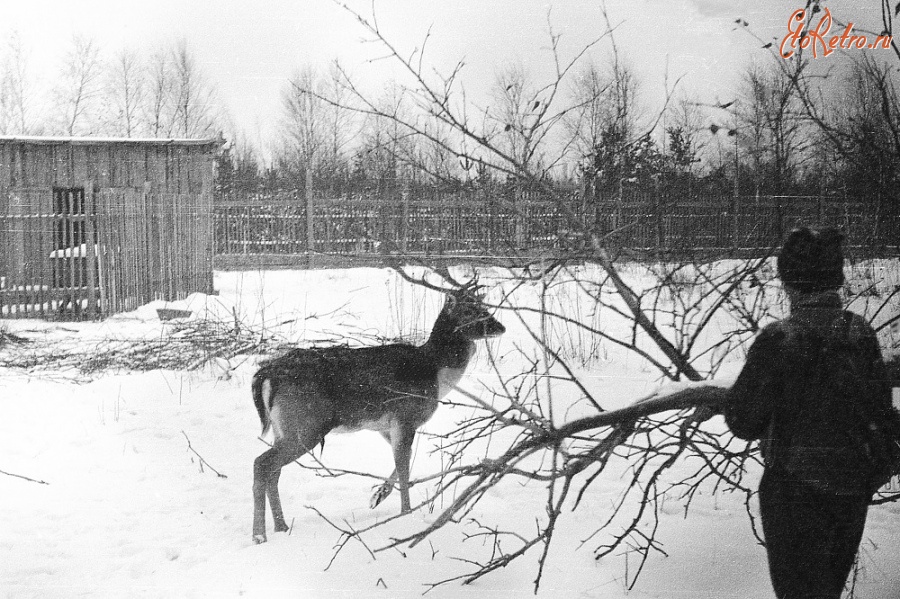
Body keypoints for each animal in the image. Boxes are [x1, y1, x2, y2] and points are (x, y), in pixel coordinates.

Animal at [251, 280, 506, 544]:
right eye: (468, 311)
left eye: (484, 306)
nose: (500, 327)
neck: (435, 371)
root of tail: (265, 375)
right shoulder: (406, 415)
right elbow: (403, 466)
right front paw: (406, 514)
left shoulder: (385, 425)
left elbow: (401, 462)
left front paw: (378, 497)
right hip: (306, 424)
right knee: (262, 463)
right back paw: (259, 535)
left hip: (285, 428)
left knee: (273, 470)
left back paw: (281, 527)